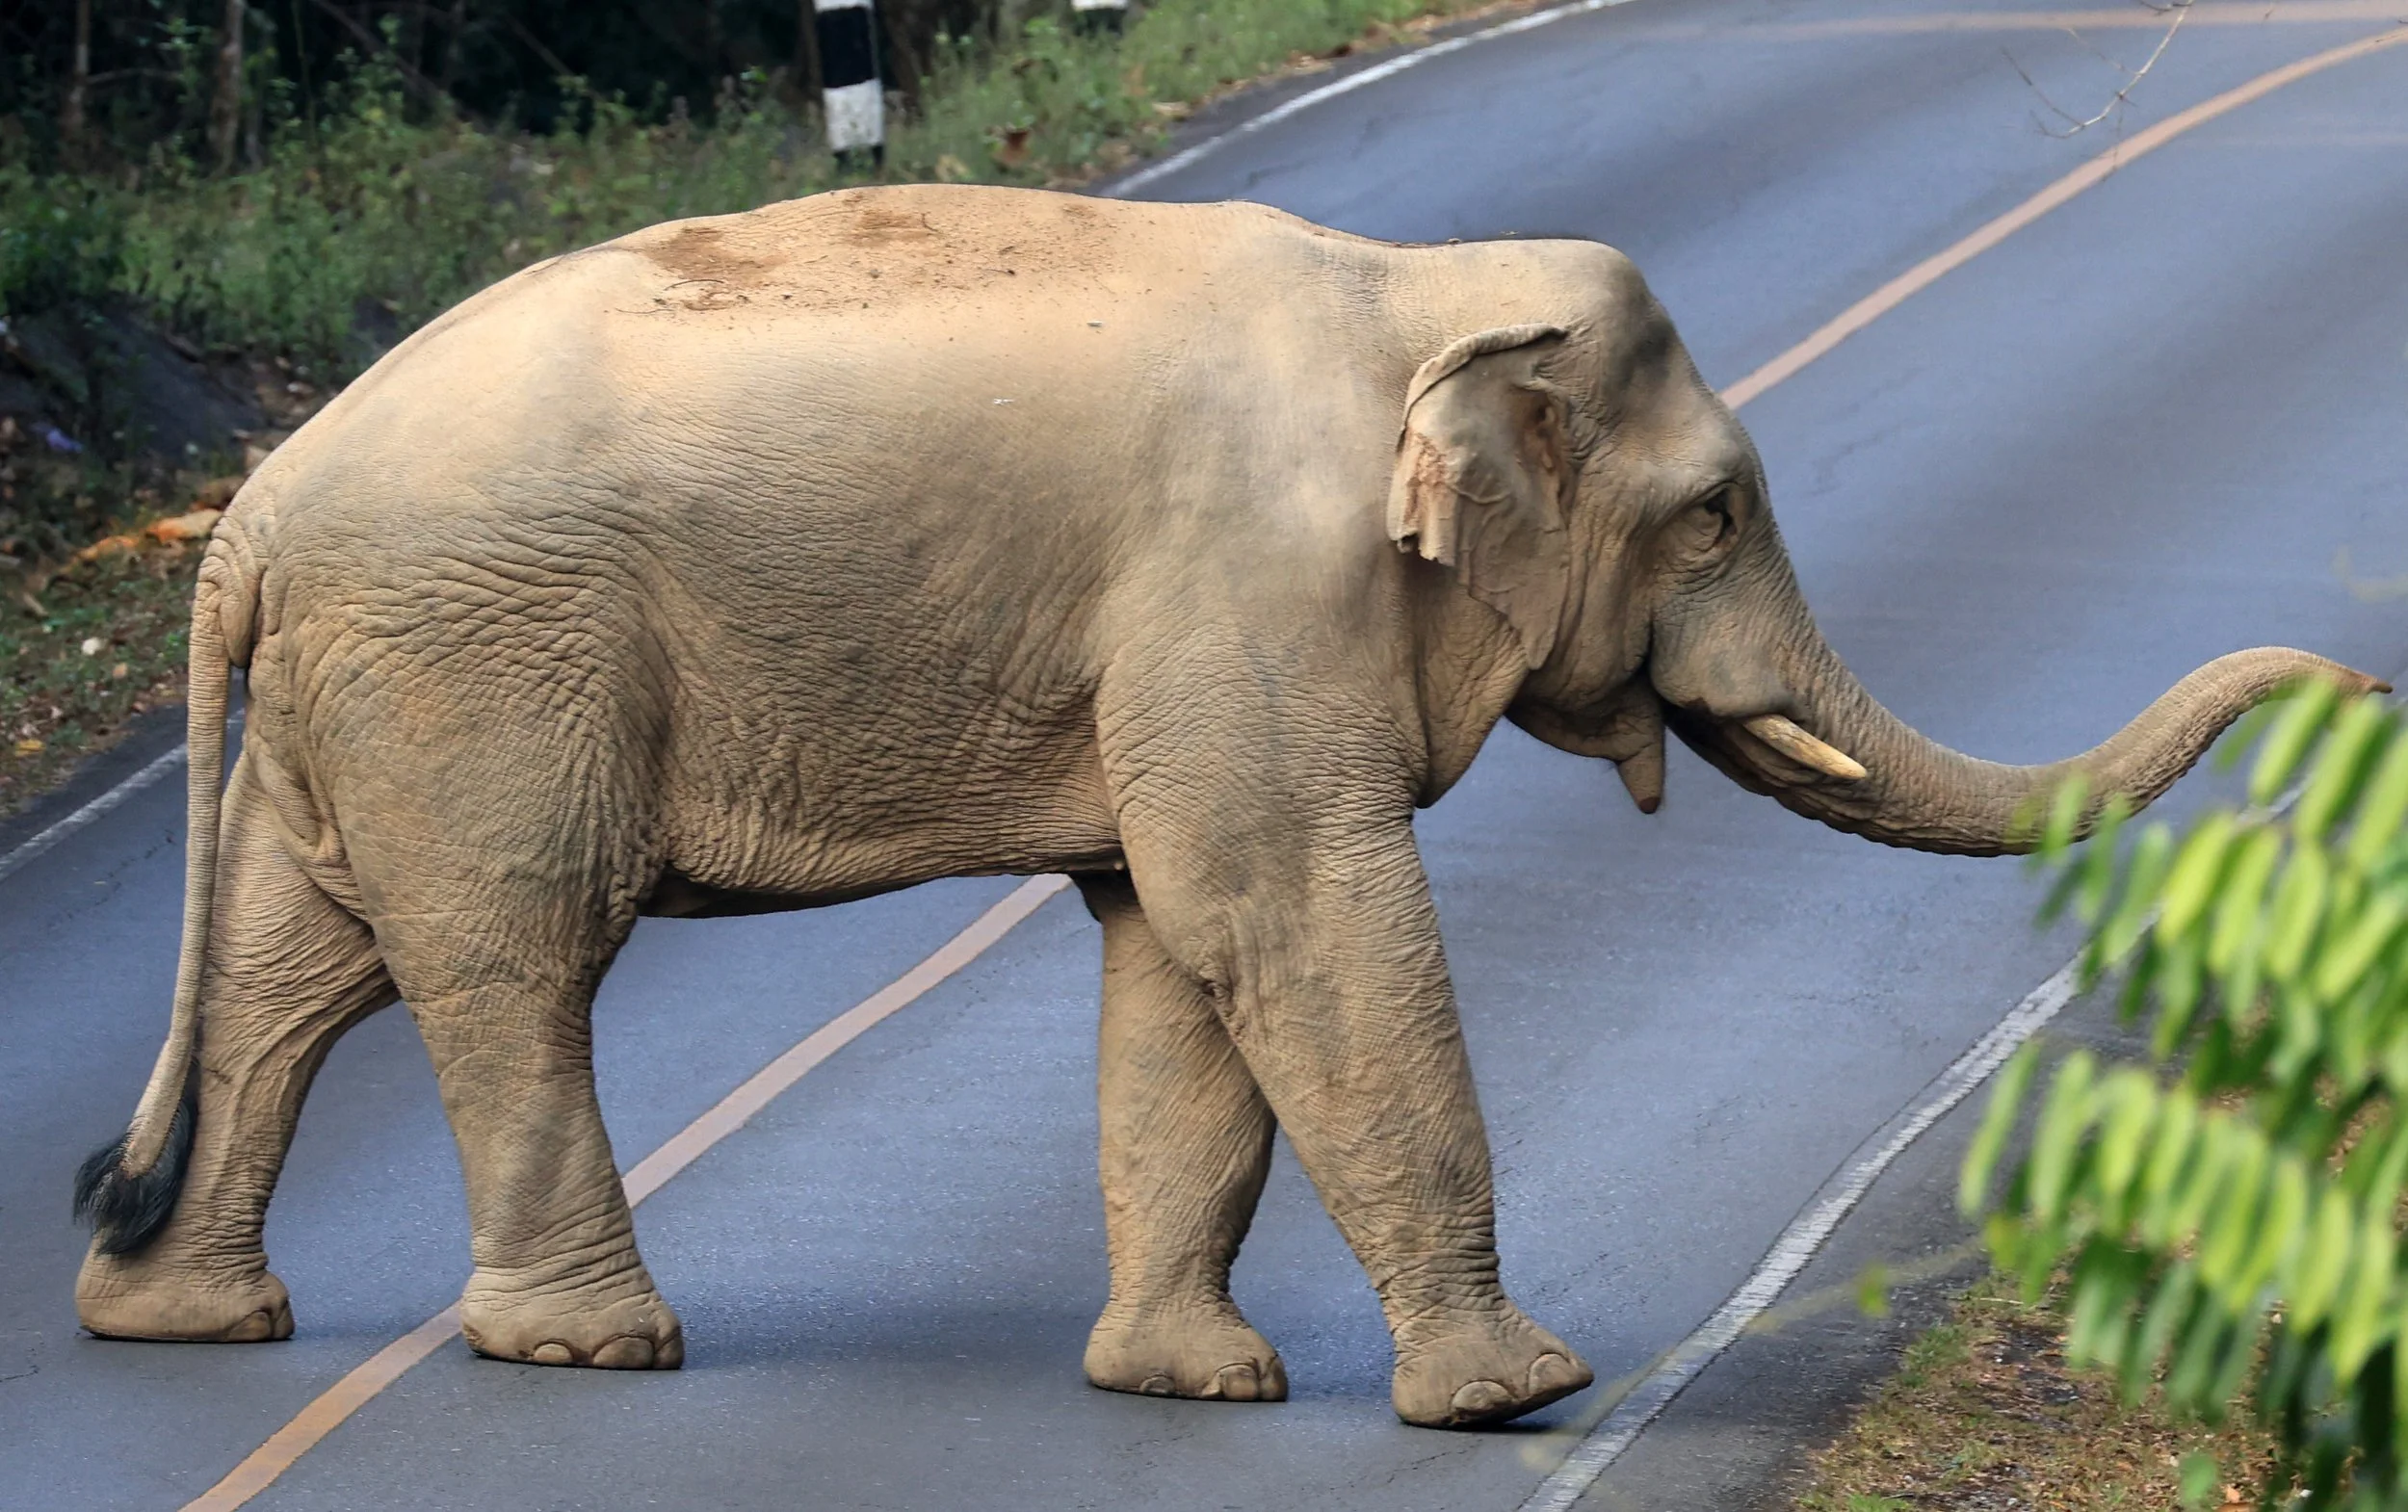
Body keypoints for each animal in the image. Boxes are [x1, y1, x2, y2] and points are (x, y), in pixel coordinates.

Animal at [74, 183, 2380, 1429]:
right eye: (1717, 511)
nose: (2362, 688)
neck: (1413, 286)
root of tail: (246, 513)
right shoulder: (1245, 595)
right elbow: (1286, 913)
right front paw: (1518, 1395)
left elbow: (1170, 955)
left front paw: (1186, 1382)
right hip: (480, 665)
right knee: (506, 961)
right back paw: (591, 1348)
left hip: (360, 694)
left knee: (297, 971)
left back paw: (179, 1312)